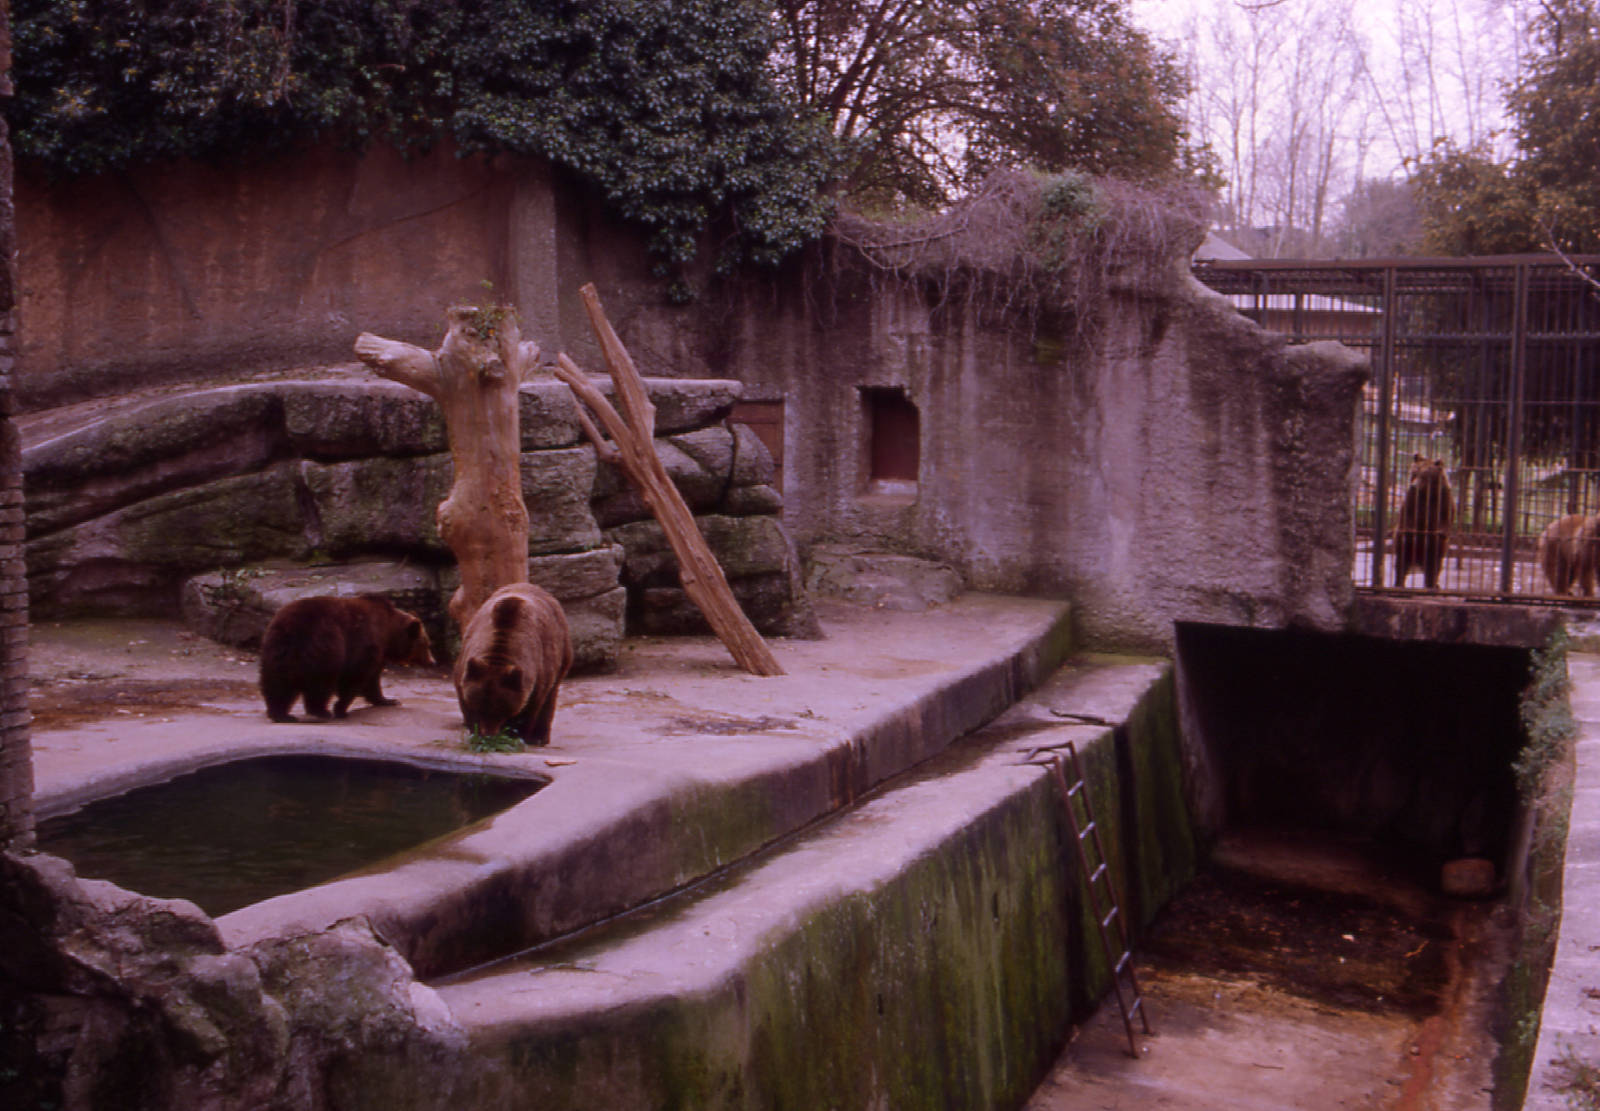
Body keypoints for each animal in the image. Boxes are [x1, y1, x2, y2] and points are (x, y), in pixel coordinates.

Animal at [259, 594, 435, 723]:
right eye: (426, 644)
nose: (432, 661)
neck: (388, 633)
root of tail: (291, 629)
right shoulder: (365, 644)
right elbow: (356, 676)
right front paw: (341, 708)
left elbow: (372, 680)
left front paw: (388, 700)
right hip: (324, 645)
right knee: (320, 682)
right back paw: (321, 711)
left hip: (276, 650)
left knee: (277, 683)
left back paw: (281, 714)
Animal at [454, 582, 573, 747]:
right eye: (481, 706)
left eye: (500, 709)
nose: (489, 735)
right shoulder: (465, 665)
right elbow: (466, 702)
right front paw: (476, 733)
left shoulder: (537, 674)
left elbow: (528, 708)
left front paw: (513, 736)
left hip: (562, 651)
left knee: (550, 696)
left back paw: (540, 738)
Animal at [1392, 454, 1454, 589]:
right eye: (1414, 472)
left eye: (1425, 475)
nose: (1413, 485)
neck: (1427, 494)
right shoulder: (1412, 499)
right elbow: (1407, 515)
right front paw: (1410, 530)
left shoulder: (1443, 496)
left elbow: (1446, 515)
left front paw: (1442, 532)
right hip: (1405, 547)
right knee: (1401, 563)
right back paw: (1399, 583)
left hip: (1434, 550)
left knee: (1434, 567)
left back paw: (1433, 585)